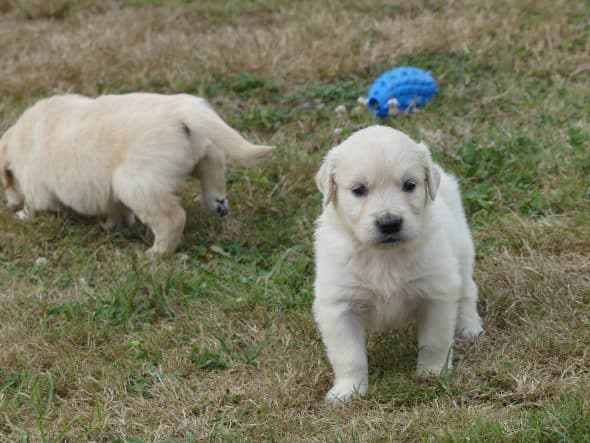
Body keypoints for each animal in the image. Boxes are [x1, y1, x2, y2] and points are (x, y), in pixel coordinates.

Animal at [0, 93, 276, 253]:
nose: (9, 205)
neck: (18, 140)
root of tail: (182, 108)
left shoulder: (37, 186)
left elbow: (36, 204)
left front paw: (23, 216)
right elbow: (116, 209)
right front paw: (115, 225)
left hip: (136, 181)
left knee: (172, 218)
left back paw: (156, 254)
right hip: (193, 147)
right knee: (213, 156)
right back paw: (217, 200)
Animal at [314, 125, 486, 402]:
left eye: (409, 185)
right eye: (359, 190)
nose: (389, 223)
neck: (385, 257)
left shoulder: (436, 292)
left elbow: (435, 341)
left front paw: (432, 374)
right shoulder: (339, 305)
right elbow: (349, 356)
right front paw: (347, 392)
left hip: (462, 251)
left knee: (467, 292)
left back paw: (469, 328)